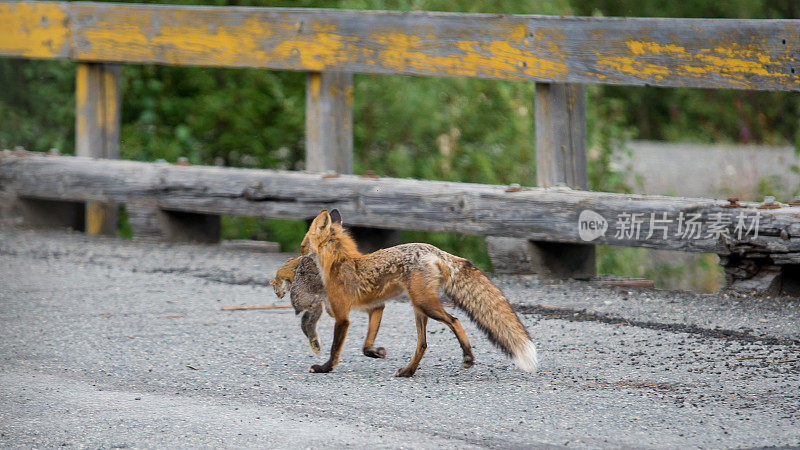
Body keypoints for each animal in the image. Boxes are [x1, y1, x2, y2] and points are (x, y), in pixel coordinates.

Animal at [298, 210, 536, 376]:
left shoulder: (342, 317)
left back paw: (467, 356)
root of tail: (435, 250)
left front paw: (325, 368)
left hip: (424, 304)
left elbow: (334, 349)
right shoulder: (376, 307)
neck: (337, 263)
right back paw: (407, 372)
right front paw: (376, 353)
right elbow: (366, 346)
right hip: (418, 308)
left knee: (455, 320)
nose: (298, 254)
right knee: (423, 344)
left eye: (302, 245)